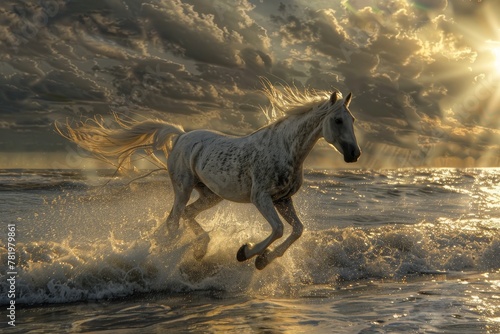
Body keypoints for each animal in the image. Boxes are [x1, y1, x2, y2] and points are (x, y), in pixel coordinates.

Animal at [57, 82, 360, 270]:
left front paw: (263, 260)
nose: (354, 154)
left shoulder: (283, 200)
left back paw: (201, 249)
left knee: (188, 215)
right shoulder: (261, 198)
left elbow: (297, 230)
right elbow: (278, 229)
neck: (284, 149)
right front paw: (246, 252)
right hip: (182, 188)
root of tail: (181, 136)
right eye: (338, 120)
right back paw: (170, 253)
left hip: (210, 195)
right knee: (174, 219)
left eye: (353, 120)